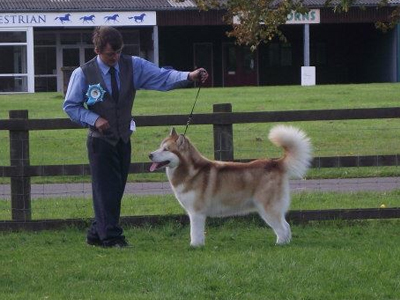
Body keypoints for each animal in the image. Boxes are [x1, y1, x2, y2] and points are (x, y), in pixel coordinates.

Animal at [149, 125, 312, 246]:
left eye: (166, 149)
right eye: (159, 147)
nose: (149, 155)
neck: (190, 171)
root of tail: (275, 163)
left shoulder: (196, 212)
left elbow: (194, 232)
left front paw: (194, 246)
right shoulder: (197, 213)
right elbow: (199, 233)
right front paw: (199, 245)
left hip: (267, 208)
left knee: (282, 228)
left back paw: (280, 245)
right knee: (287, 226)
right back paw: (285, 242)